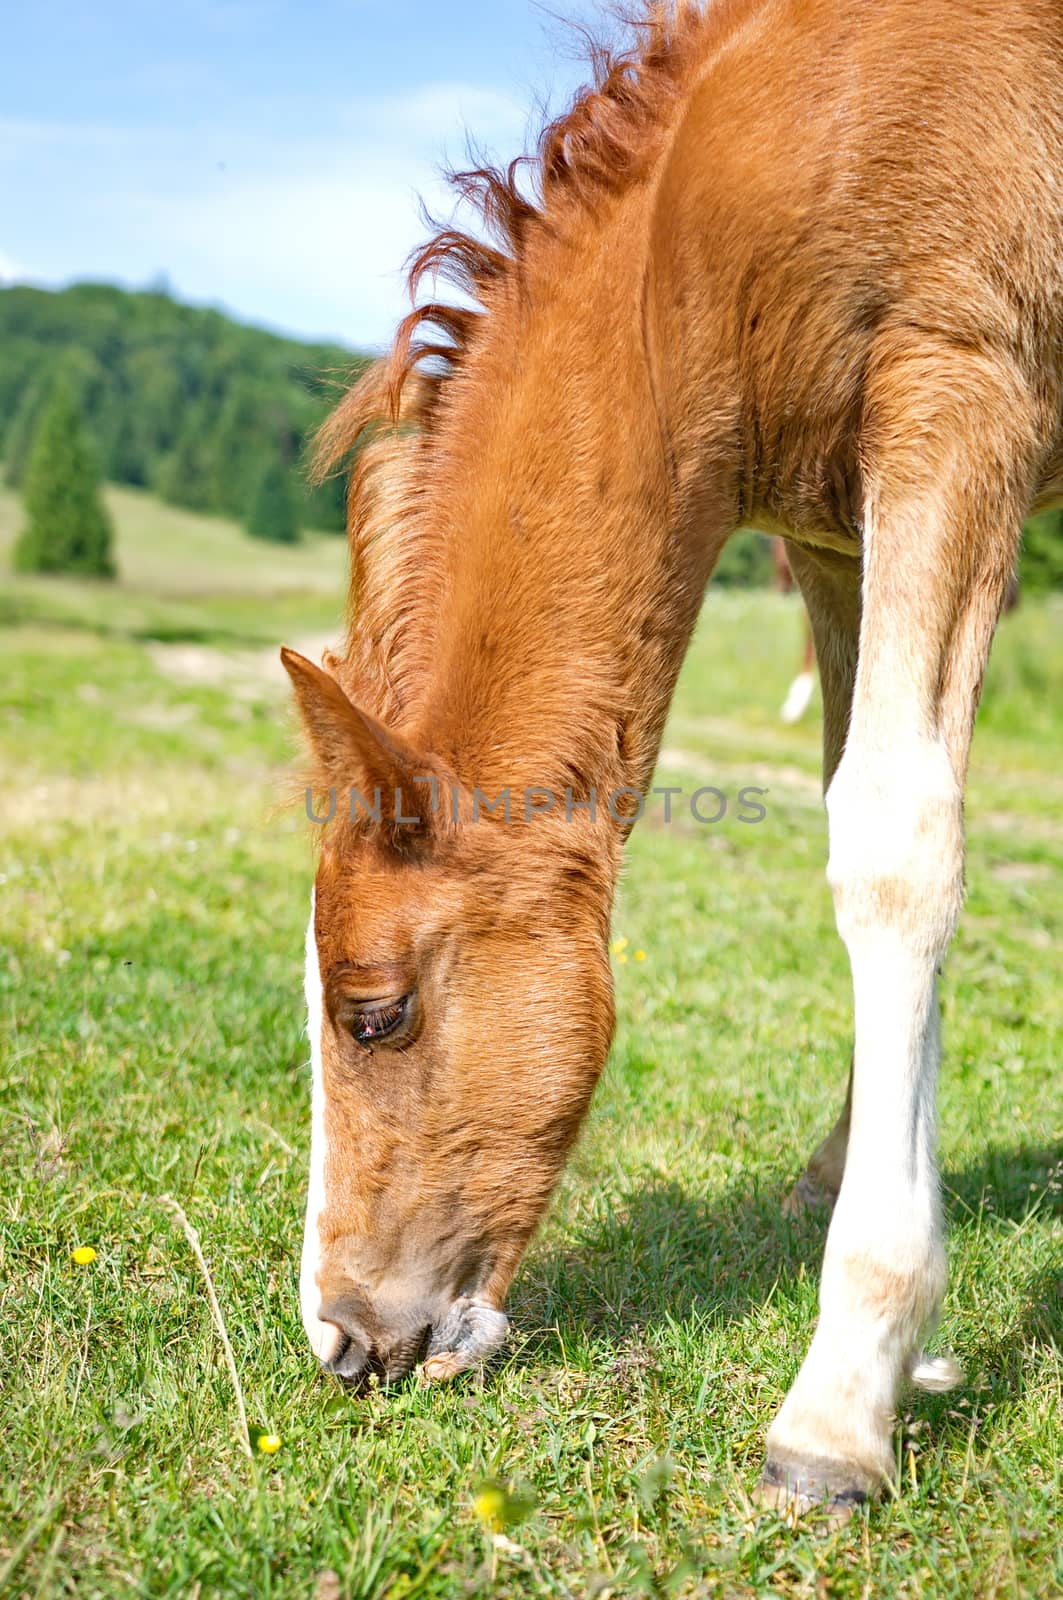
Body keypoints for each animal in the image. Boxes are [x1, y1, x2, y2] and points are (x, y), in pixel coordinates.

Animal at [281, 0, 1063, 1510]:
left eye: (373, 1012)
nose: (339, 1337)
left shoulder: (965, 383)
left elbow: (893, 848)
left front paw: (843, 1398)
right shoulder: (832, 530)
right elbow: (852, 802)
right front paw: (834, 1170)